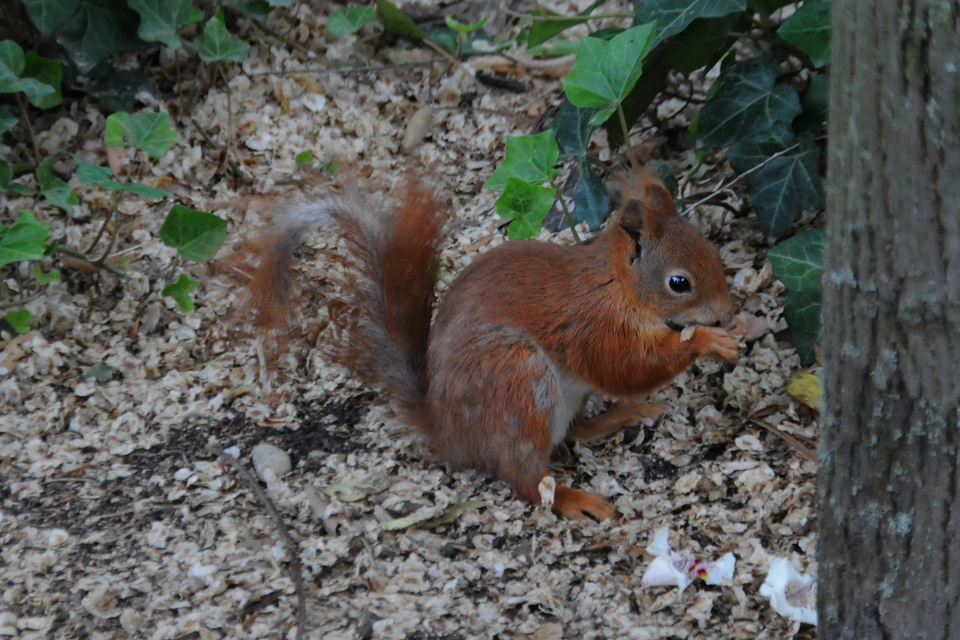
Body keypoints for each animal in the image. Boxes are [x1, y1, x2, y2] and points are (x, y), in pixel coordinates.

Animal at [244, 171, 740, 520]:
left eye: (713, 253)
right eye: (679, 283)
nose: (726, 311)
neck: (617, 284)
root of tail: (449, 435)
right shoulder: (596, 326)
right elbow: (627, 368)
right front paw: (708, 341)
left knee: (577, 431)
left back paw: (626, 415)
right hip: (517, 378)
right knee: (525, 479)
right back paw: (573, 499)